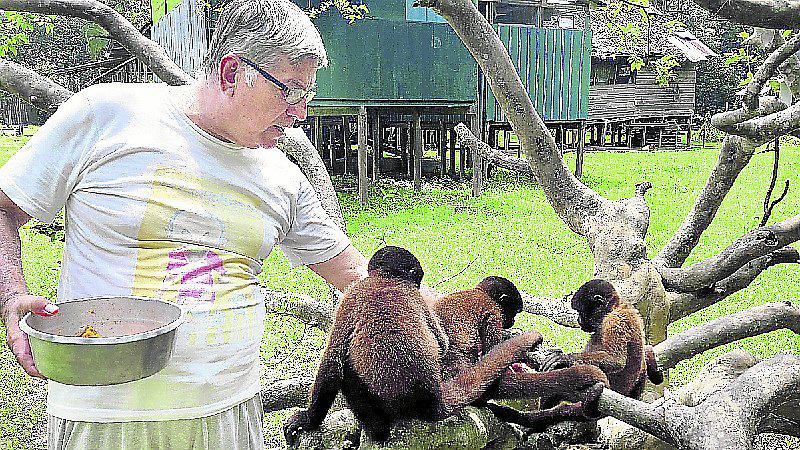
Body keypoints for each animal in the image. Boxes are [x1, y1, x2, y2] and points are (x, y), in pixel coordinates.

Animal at [283, 247, 543, 445]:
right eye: (512, 313)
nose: (512, 321)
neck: (385, 277)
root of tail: (432, 402)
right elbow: (333, 359)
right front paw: (309, 420)